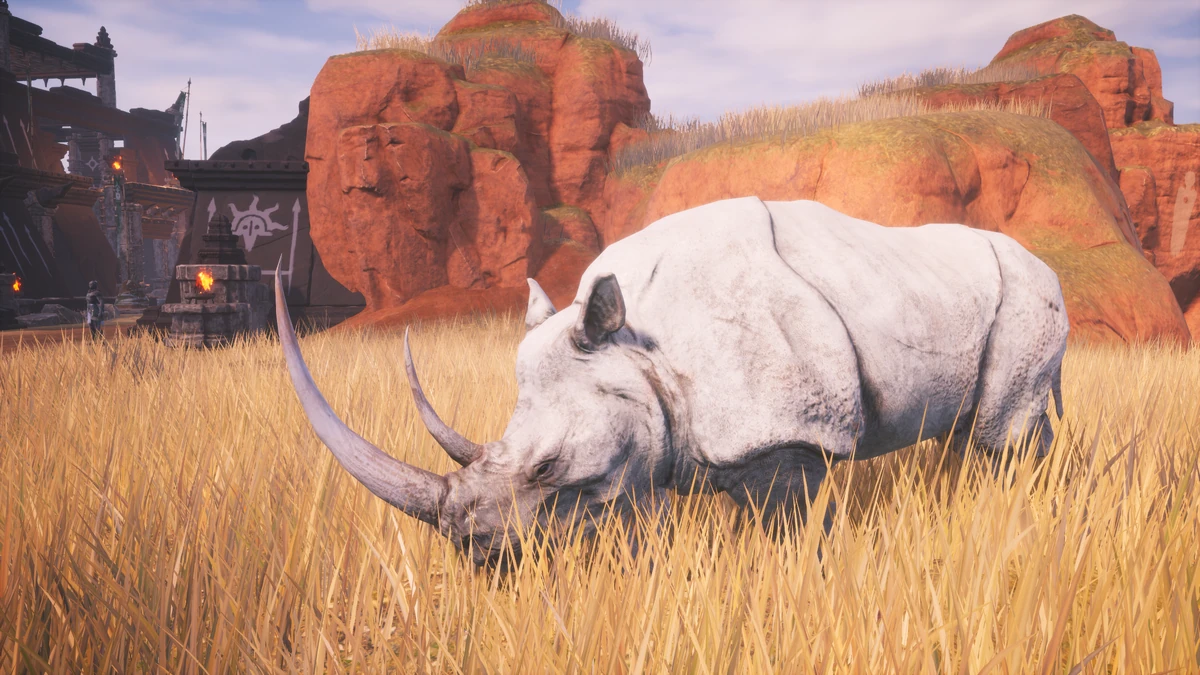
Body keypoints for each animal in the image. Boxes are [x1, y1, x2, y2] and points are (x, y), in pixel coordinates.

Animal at [277, 197, 1068, 566]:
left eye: (549, 468)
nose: (476, 556)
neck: (641, 346)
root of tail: (1046, 264)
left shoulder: (780, 436)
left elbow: (795, 535)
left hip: (1031, 294)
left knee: (1004, 437)